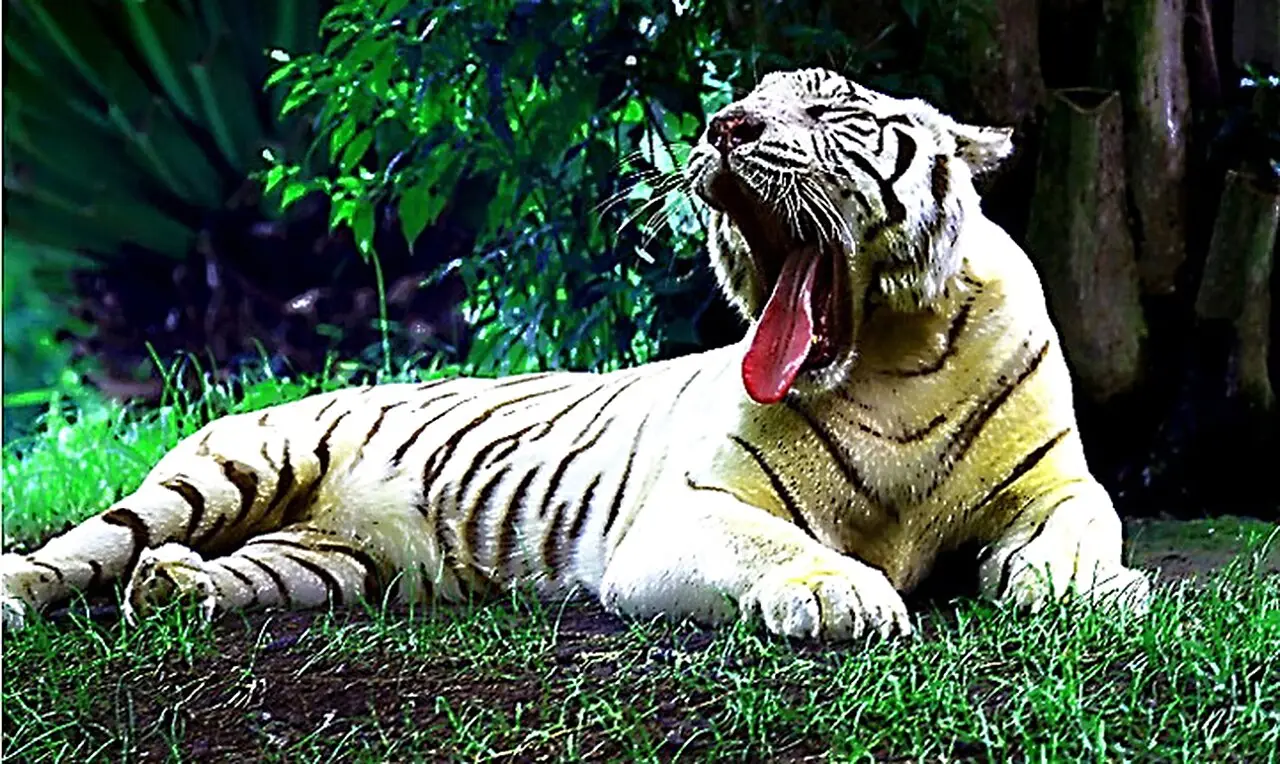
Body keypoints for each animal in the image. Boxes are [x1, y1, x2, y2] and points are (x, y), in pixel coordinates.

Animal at [1, 68, 1150, 641]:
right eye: (750, 98)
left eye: (830, 111)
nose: (723, 123)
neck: (891, 355)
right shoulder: (682, 515)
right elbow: (774, 542)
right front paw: (841, 593)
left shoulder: (1057, 482)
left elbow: (1082, 530)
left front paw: (1082, 585)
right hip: (225, 470)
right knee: (80, 547)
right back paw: (33, 593)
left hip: (332, 564)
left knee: (231, 573)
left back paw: (176, 592)